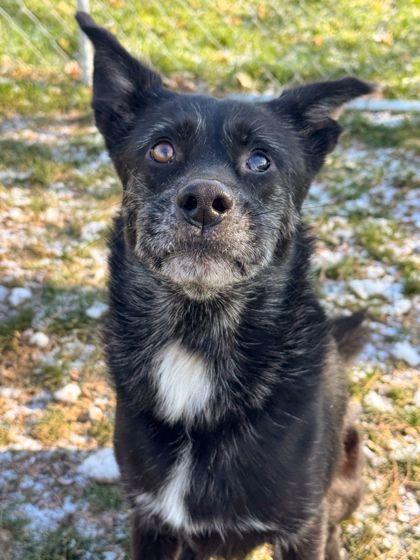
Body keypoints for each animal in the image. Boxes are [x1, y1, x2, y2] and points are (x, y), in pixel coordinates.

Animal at [75, 12, 370, 556]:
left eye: (260, 160)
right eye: (162, 150)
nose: (206, 203)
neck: (196, 335)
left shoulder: (302, 527)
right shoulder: (149, 519)